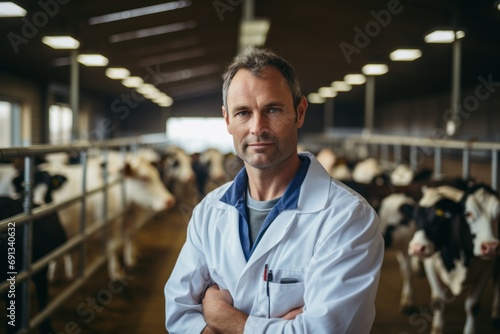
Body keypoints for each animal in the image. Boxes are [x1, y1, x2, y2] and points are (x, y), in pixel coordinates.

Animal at [408, 184, 498, 332]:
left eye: (440, 217)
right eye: (467, 213)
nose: (417, 247)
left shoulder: (488, 266)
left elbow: (473, 306)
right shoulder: (430, 265)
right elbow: (438, 301)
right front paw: (437, 329)